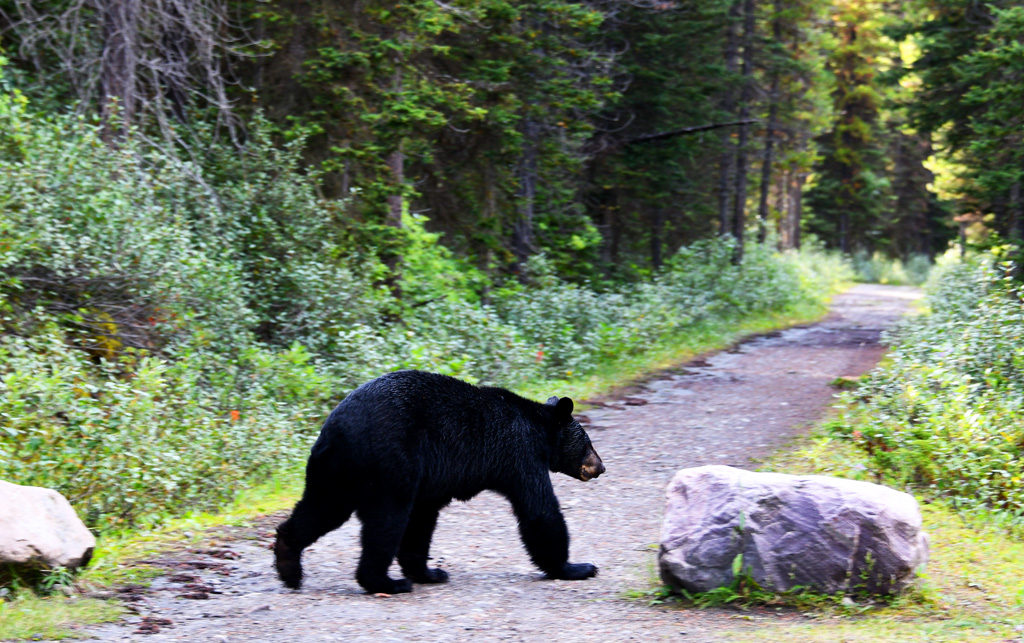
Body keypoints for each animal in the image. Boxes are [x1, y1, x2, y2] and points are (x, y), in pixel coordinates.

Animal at [276, 368, 602, 593]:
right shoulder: (519, 454)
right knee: (386, 521)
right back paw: (385, 582)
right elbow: (539, 509)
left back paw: (288, 564)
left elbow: (421, 522)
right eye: (588, 443)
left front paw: (430, 573)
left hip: (335, 473)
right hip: (388, 465)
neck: (538, 428)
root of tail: (338, 430)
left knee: (321, 509)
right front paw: (575, 567)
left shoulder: (430, 481)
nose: (600, 467)